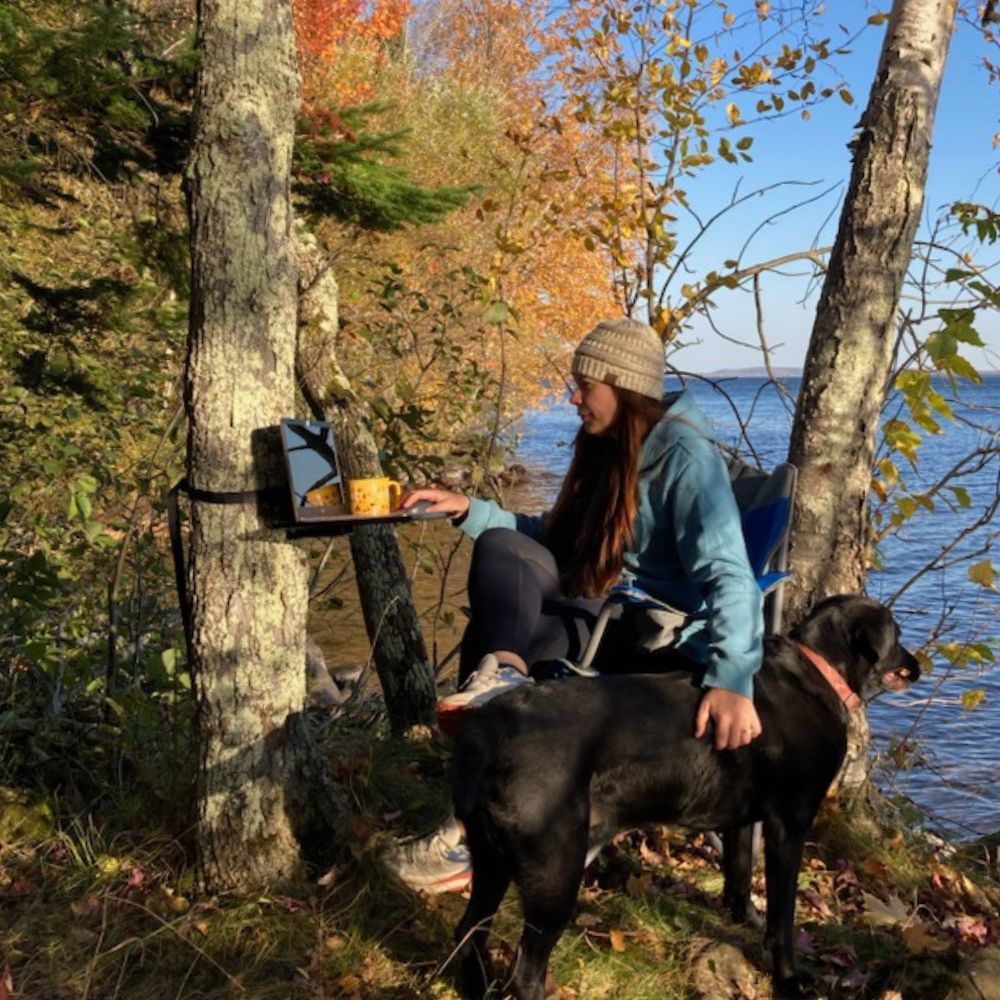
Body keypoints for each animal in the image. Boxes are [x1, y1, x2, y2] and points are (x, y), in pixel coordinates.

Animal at [454, 596, 920, 996]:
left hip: (492, 859)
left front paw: (743, 921)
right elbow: (782, 921)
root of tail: (490, 728)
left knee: (469, 934)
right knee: (524, 972)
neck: (817, 672)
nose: (916, 666)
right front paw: (789, 979)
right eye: (897, 633)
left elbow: (738, 880)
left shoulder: (743, 820)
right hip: (555, 871)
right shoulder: (790, 824)